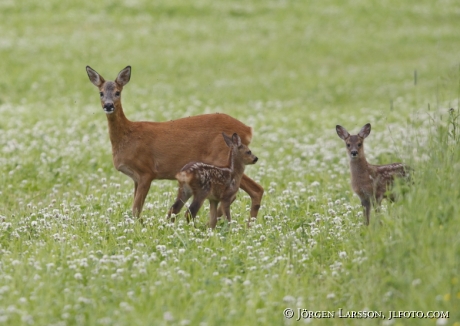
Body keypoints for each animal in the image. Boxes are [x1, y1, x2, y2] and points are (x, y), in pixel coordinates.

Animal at [85, 66, 262, 224]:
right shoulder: (136, 178)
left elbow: (136, 209)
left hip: (223, 159)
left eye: (117, 92)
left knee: (253, 189)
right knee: (253, 190)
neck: (128, 137)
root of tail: (248, 129)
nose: (108, 105)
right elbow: (135, 209)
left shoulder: (146, 171)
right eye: (101, 93)